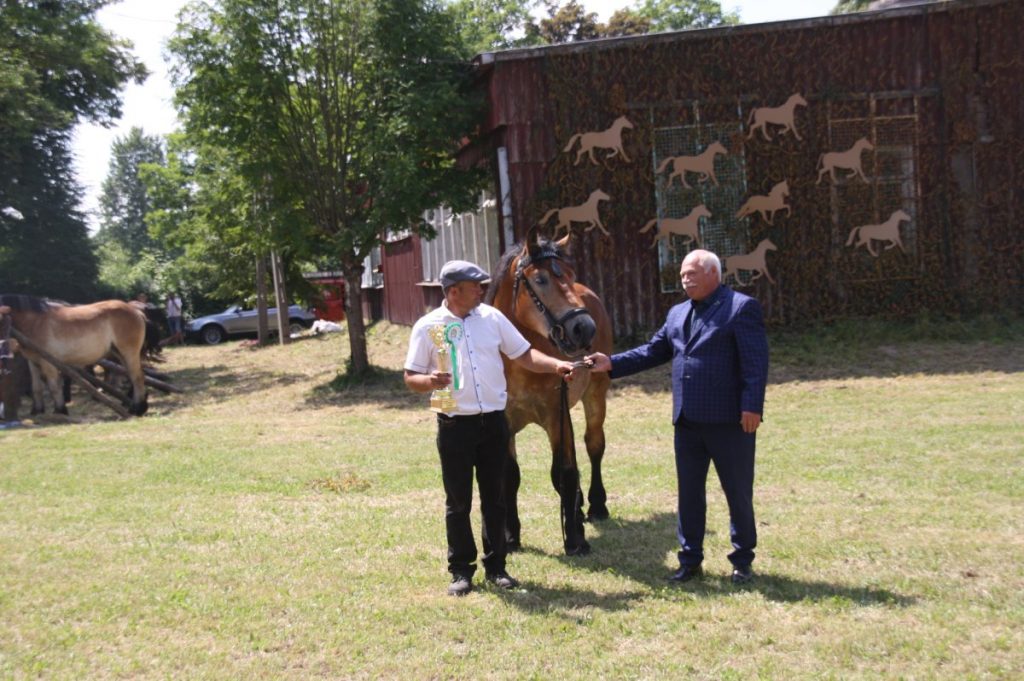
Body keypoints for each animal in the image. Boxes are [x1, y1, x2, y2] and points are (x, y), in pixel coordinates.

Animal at [0, 294, 149, 417]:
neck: (35, 322)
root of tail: (135, 310)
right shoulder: (33, 362)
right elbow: (36, 388)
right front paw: (37, 411)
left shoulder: (48, 363)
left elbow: (54, 387)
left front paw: (60, 410)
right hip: (120, 354)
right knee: (133, 377)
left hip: (129, 352)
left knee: (137, 377)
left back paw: (137, 409)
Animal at [483, 231, 610, 557]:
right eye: (540, 279)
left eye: (570, 275)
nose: (584, 328)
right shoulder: (504, 423)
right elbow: (509, 476)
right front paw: (510, 536)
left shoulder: (556, 416)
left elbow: (563, 472)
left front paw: (575, 539)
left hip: (595, 394)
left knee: (594, 446)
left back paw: (596, 506)